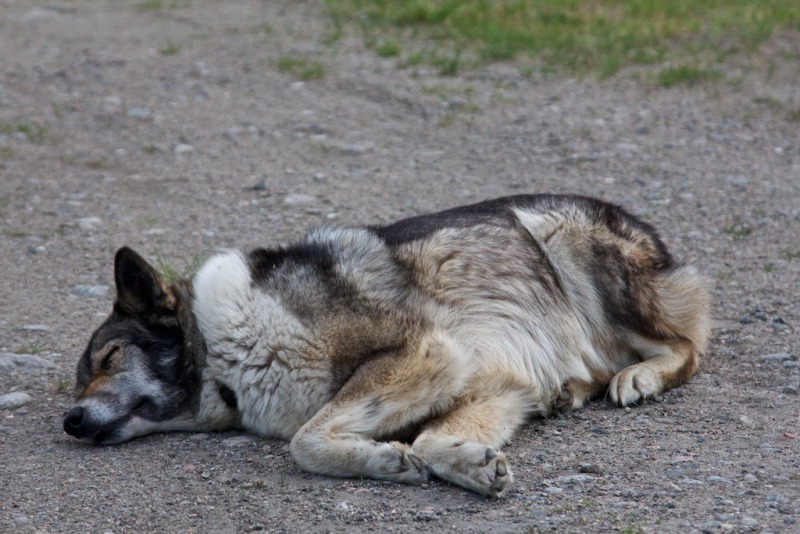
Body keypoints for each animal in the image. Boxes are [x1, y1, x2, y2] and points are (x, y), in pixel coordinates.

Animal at [64, 196, 712, 498]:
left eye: (109, 359)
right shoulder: (491, 385)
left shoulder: (425, 352)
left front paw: (383, 460)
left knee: (688, 343)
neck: (224, 352)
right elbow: (428, 440)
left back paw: (640, 377)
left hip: (563, 242)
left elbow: (304, 443)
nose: (69, 420)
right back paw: (570, 391)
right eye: (79, 378)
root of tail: (651, 235)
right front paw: (468, 466)